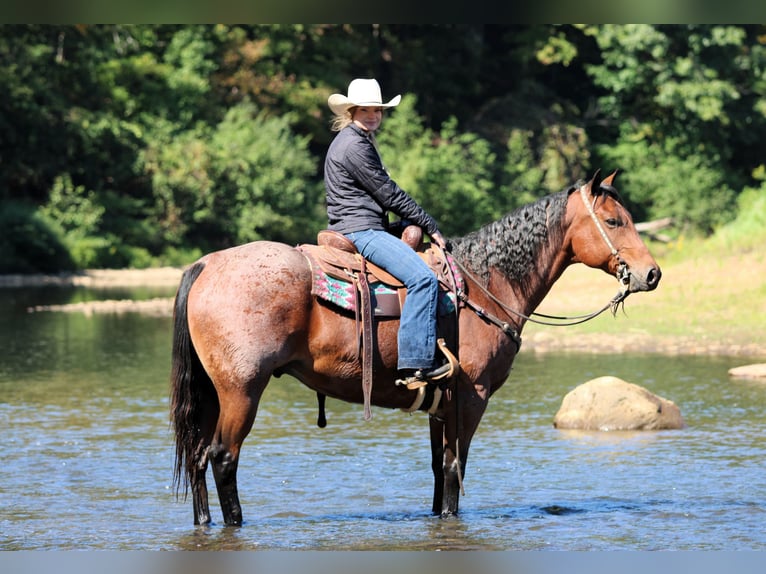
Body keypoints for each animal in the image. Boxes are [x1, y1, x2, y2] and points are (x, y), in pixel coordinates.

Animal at [170, 170, 661, 526]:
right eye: (614, 221)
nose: (651, 274)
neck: (483, 287)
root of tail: (206, 264)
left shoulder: (441, 403)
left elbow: (437, 470)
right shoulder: (471, 396)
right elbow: (454, 470)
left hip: (213, 392)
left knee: (197, 456)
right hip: (242, 390)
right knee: (223, 458)